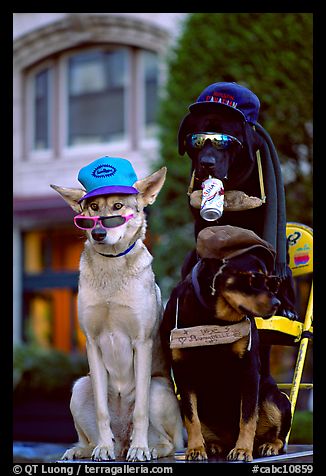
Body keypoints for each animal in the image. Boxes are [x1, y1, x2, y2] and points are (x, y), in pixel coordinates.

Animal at [50, 165, 183, 462]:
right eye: (93, 208)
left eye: (118, 207)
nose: (98, 233)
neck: (112, 268)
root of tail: (122, 439)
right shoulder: (92, 342)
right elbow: (102, 412)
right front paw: (103, 448)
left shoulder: (142, 343)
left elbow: (141, 411)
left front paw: (141, 449)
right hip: (80, 387)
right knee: (93, 436)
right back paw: (87, 449)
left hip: (158, 389)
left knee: (167, 442)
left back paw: (147, 448)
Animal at [162, 227, 292, 462]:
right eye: (254, 278)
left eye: (273, 282)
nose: (277, 303)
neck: (213, 317)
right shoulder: (183, 372)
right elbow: (191, 417)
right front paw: (195, 449)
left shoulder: (249, 369)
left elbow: (247, 416)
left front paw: (242, 450)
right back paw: (213, 445)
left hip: (275, 397)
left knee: (279, 437)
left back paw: (267, 445)